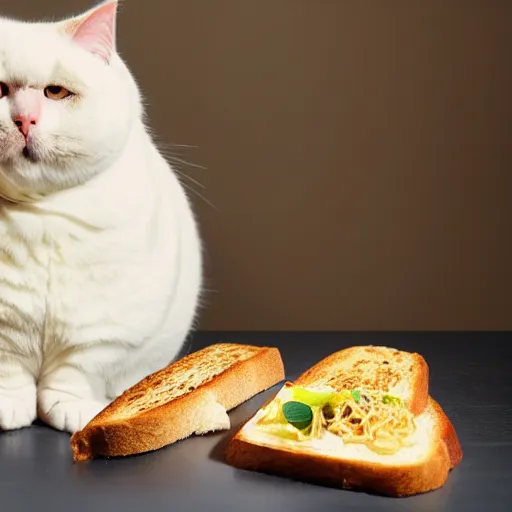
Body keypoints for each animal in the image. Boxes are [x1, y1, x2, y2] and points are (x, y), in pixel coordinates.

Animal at [0, 0, 204, 434]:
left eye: (56, 92)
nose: (24, 120)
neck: (40, 214)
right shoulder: (4, 328)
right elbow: (8, 372)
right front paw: (8, 409)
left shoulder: (105, 327)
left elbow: (74, 373)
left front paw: (71, 411)